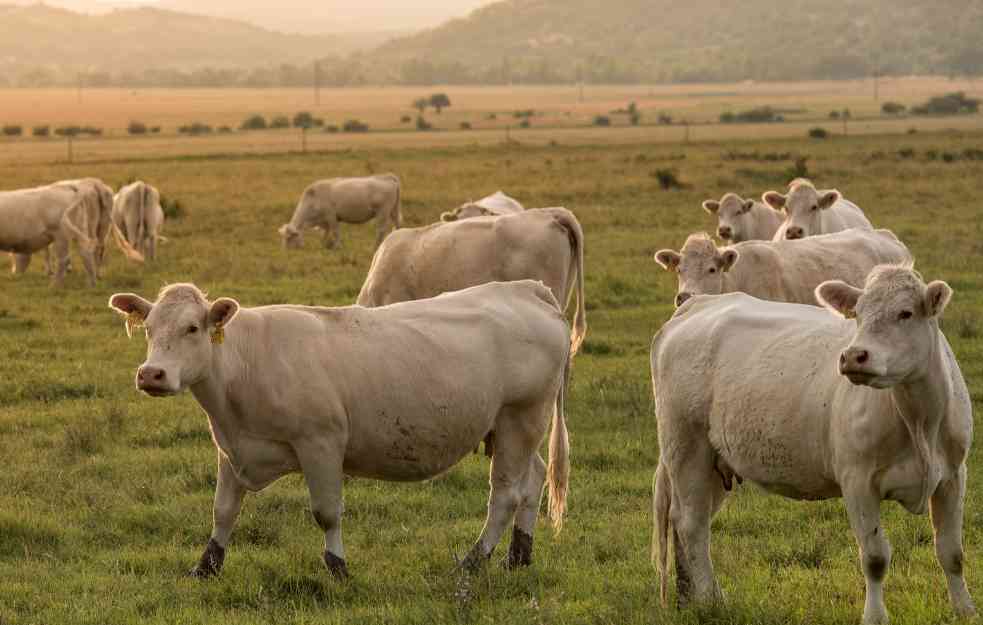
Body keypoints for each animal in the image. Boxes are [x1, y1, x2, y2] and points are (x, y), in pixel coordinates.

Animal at [107, 280, 568, 576]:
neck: (247, 362)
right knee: (533, 479)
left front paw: (338, 567)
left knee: (505, 495)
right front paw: (206, 566)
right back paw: (518, 556)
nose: (151, 374)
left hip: (519, 418)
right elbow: (223, 511)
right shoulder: (232, 448)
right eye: (149, 329)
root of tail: (526, 289)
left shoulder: (321, 444)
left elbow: (326, 513)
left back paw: (474, 561)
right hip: (513, 428)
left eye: (192, 328)